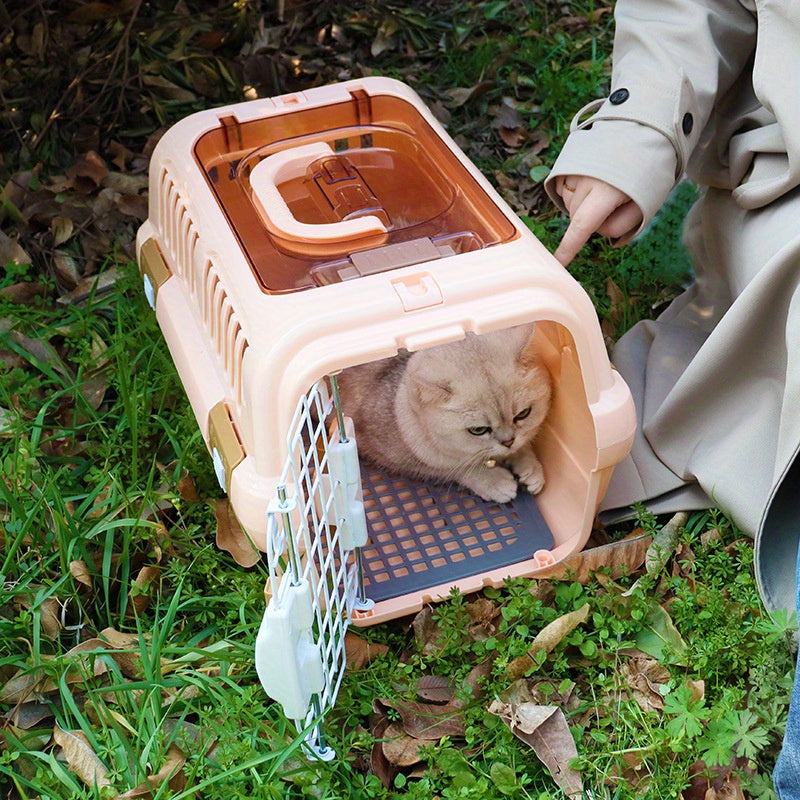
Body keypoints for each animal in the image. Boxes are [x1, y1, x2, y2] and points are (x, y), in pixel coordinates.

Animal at [336, 324, 552, 500]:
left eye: (523, 414)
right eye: (478, 430)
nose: (508, 442)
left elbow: (524, 445)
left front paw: (531, 467)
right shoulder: (399, 458)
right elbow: (457, 468)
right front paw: (495, 482)